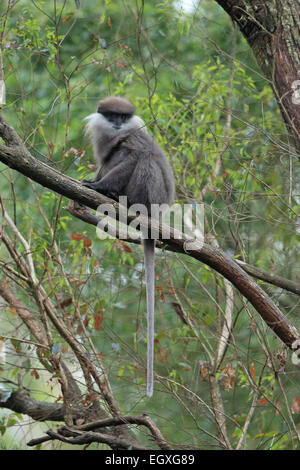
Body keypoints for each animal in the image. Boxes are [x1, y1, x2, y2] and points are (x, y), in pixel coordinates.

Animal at [82, 95, 176, 396]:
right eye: (112, 115)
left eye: (123, 117)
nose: (117, 123)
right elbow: (106, 159)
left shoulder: (135, 137)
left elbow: (134, 156)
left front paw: (97, 186)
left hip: (149, 195)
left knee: (140, 159)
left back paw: (113, 195)